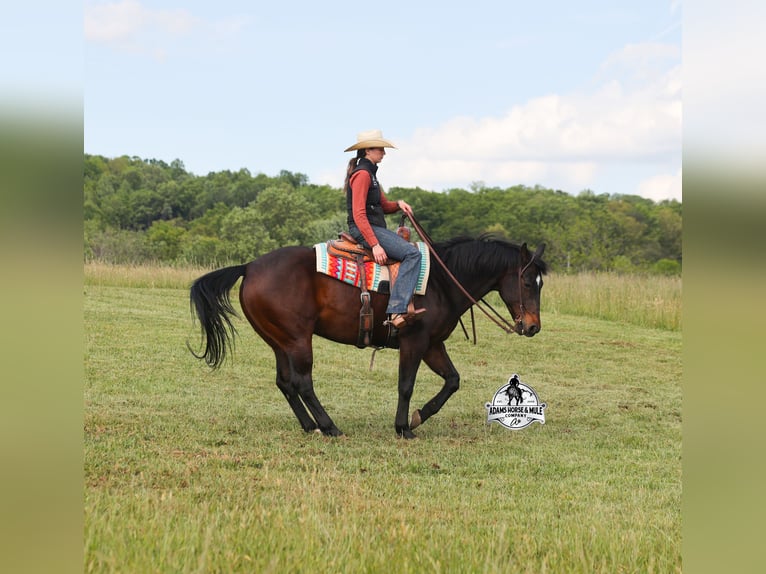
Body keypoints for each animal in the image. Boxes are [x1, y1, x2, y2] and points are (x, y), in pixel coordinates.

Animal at [189, 234, 547, 439]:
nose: (533, 326)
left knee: (285, 383)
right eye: (528, 281)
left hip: (279, 341)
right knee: (302, 382)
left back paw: (309, 425)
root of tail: (249, 266)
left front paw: (418, 417)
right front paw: (403, 427)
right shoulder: (415, 341)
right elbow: (406, 385)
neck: (441, 282)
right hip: (298, 340)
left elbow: (453, 380)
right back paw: (329, 426)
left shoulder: (433, 344)